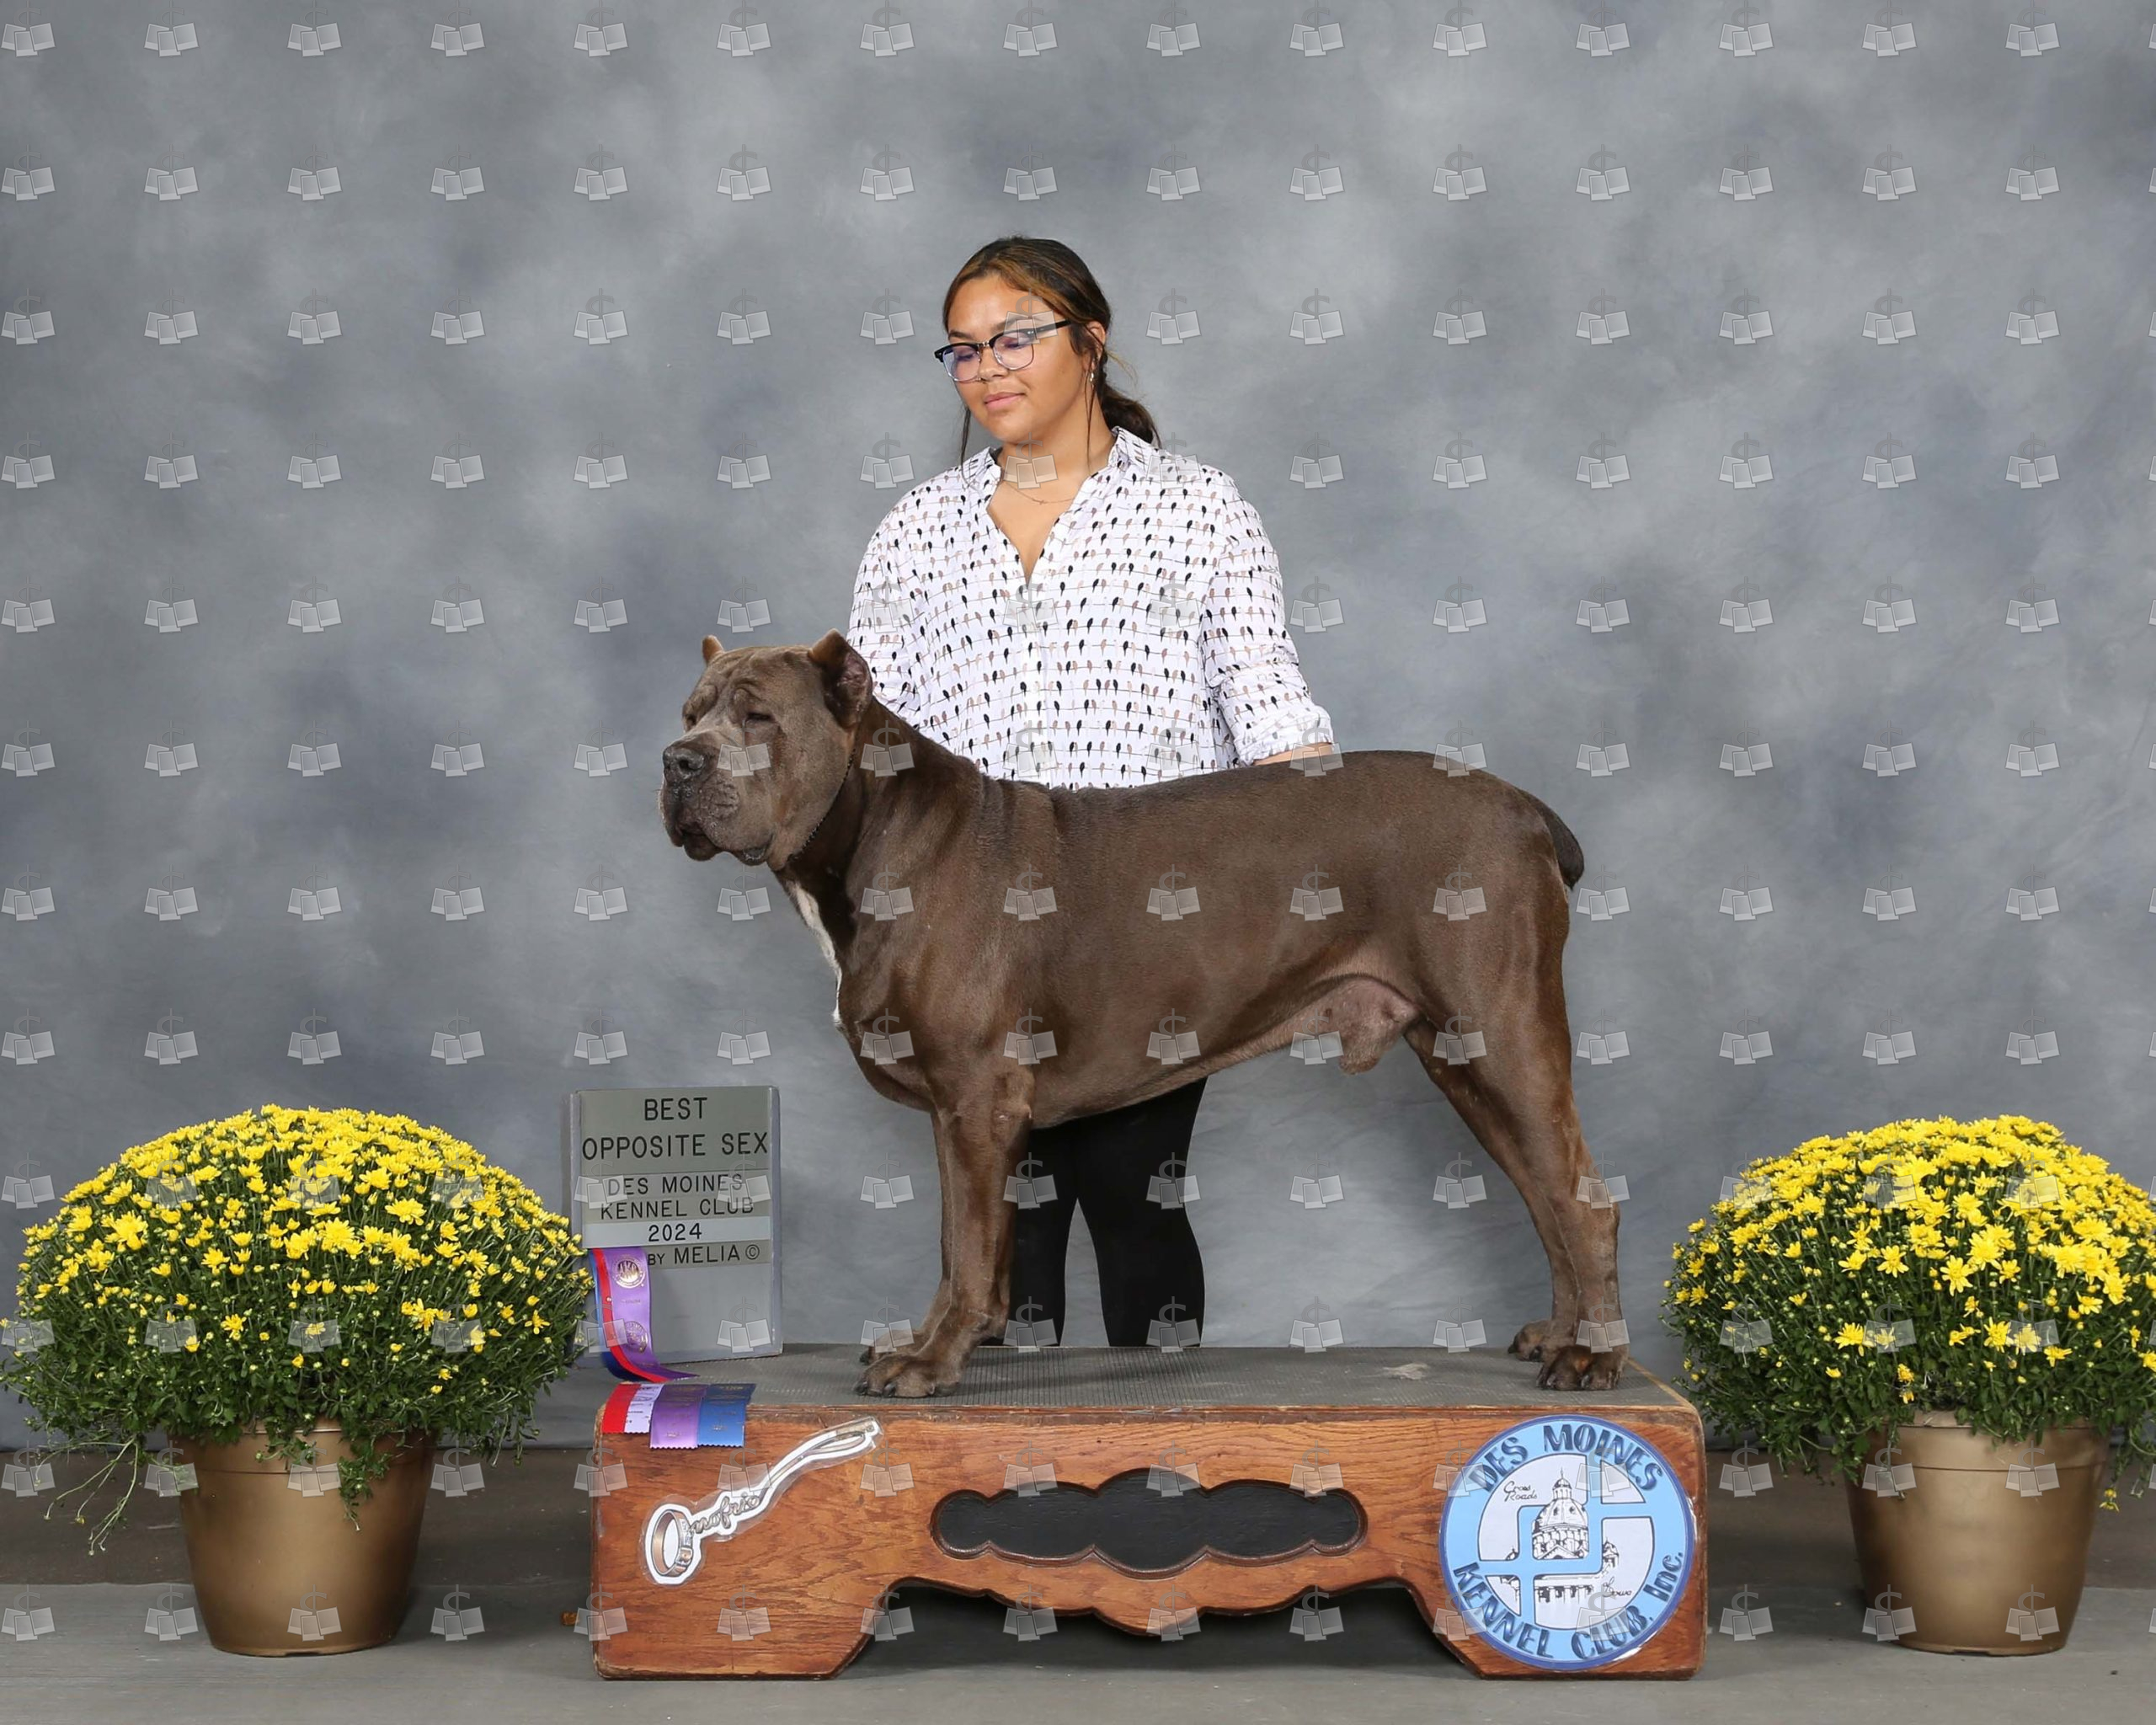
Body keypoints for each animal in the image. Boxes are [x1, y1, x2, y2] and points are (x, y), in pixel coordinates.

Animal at [661, 632, 1624, 1398]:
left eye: (758, 717)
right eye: (691, 711)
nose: (677, 760)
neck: (873, 833)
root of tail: (1528, 812)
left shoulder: (975, 1102)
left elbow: (967, 1246)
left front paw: (932, 1362)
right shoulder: (958, 1115)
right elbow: (958, 1243)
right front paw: (931, 1340)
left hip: (1504, 1035)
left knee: (1582, 1199)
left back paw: (1592, 1357)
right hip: (1463, 1056)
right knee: (1546, 1195)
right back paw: (1558, 1333)